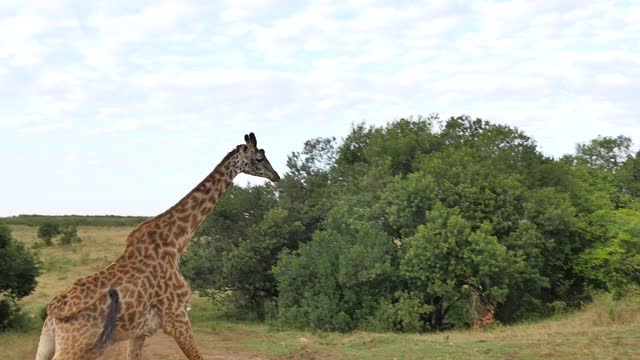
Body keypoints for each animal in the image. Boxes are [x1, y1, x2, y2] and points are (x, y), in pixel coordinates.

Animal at [36, 134, 282, 358]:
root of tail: (51, 313)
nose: (276, 176)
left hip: (48, 343)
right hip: (73, 346)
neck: (175, 243)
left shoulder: (140, 331)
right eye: (259, 157)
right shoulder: (177, 318)